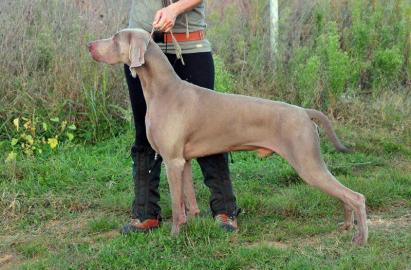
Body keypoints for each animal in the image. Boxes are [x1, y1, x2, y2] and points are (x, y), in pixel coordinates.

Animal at [87, 29, 370, 245]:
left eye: (115, 37)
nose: (89, 45)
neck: (163, 90)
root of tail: (304, 111)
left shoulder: (172, 161)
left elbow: (177, 207)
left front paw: (174, 236)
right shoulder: (183, 161)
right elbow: (189, 202)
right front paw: (192, 227)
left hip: (307, 162)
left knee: (356, 196)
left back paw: (360, 238)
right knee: (344, 195)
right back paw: (347, 227)